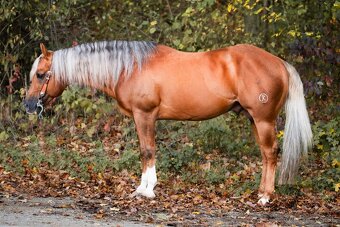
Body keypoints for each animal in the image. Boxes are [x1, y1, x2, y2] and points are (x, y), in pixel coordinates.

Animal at [23, 41, 312, 206]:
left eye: (41, 75)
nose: (28, 105)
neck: (130, 67)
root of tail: (280, 63)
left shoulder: (145, 115)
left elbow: (147, 151)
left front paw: (146, 190)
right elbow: (146, 151)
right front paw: (143, 188)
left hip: (263, 120)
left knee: (271, 153)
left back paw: (266, 197)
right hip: (254, 119)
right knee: (265, 155)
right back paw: (260, 192)